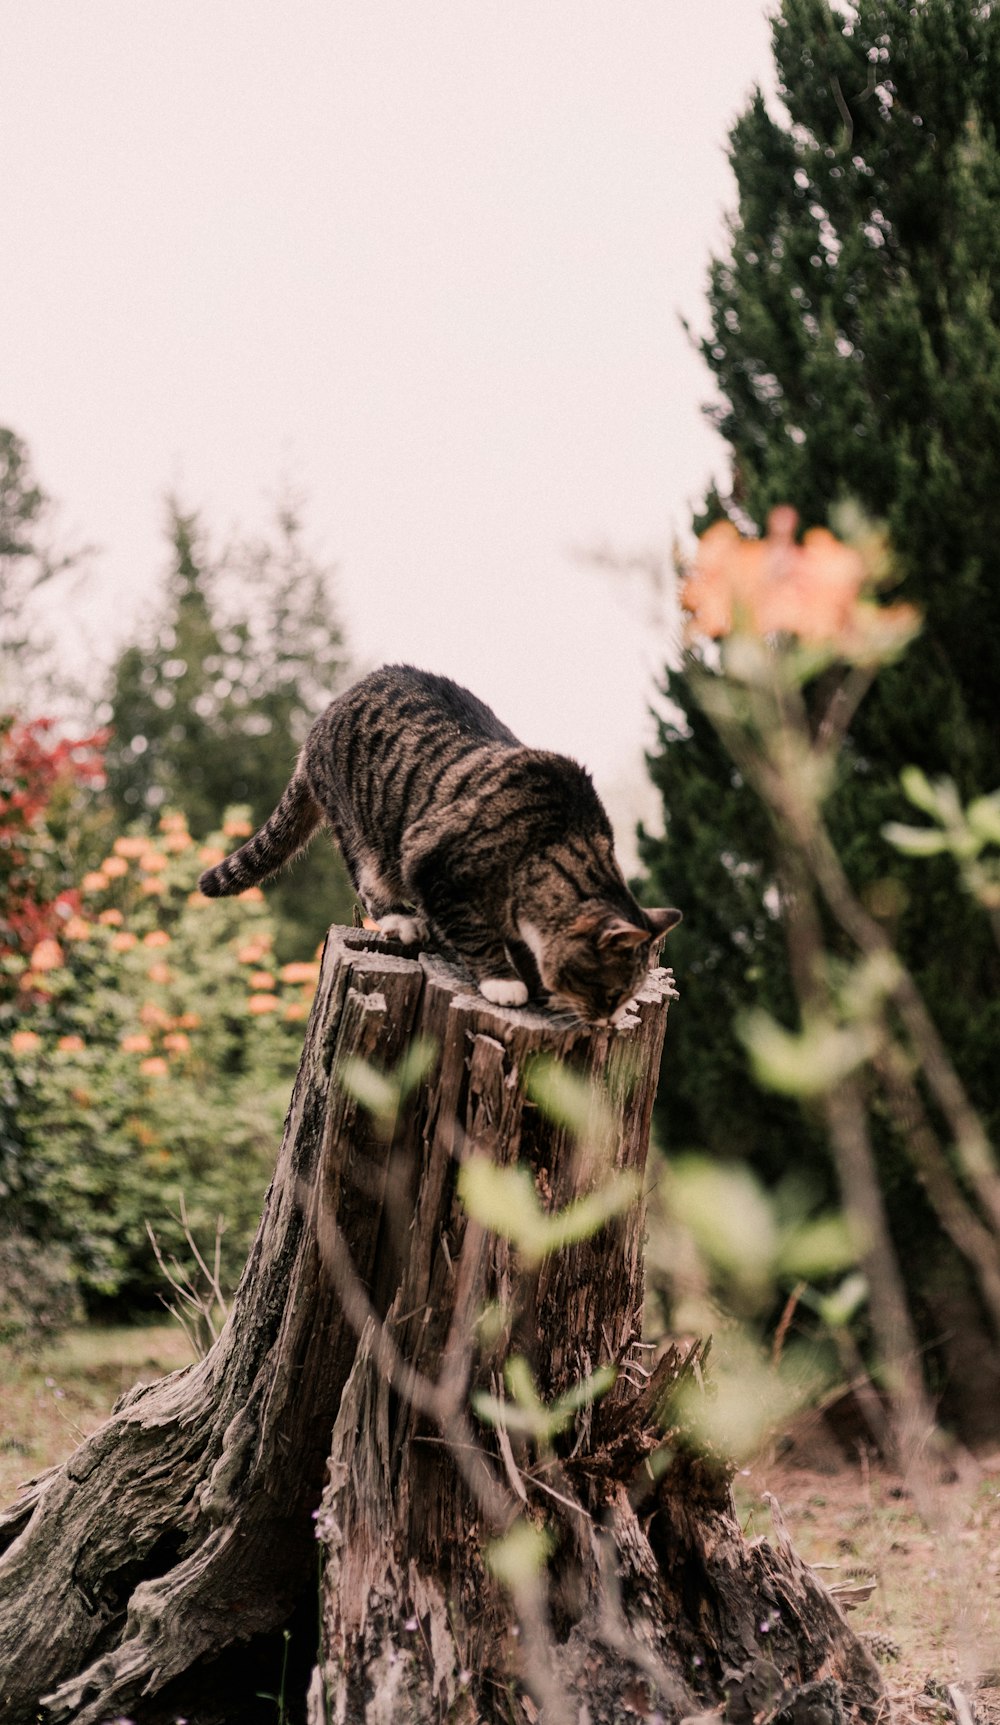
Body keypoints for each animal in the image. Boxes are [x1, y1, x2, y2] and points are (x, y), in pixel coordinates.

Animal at [197, 665, 679, 1021]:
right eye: (611, 991)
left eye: (626, 996)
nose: (607, 1022)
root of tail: (325, 714)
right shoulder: (434, 864)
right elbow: (473, 932)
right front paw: (505, 981)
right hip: (363, 835)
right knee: (368, 881)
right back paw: (402, 920)